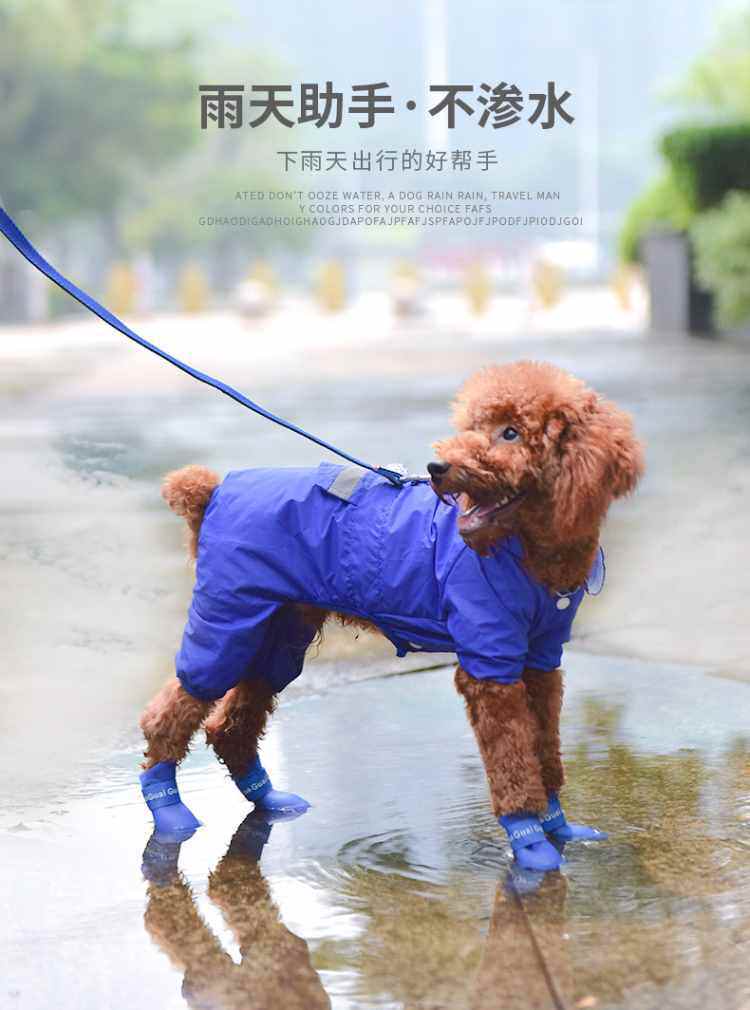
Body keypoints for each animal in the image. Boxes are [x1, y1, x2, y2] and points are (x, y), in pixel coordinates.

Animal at [139, 360, 643, 869]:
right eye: (471, 426)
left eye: (511, 433)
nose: (437, 468)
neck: (527, 554)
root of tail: (212, 492)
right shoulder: (490, 663)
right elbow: (513, 759)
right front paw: (530, 841)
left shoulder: (540, 660)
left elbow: (545, 748)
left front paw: (559, 827)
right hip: (229, 619)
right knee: (171, 711)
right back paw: (169, 810)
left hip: (276, 630)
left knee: (231, 722)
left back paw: (267, 800)